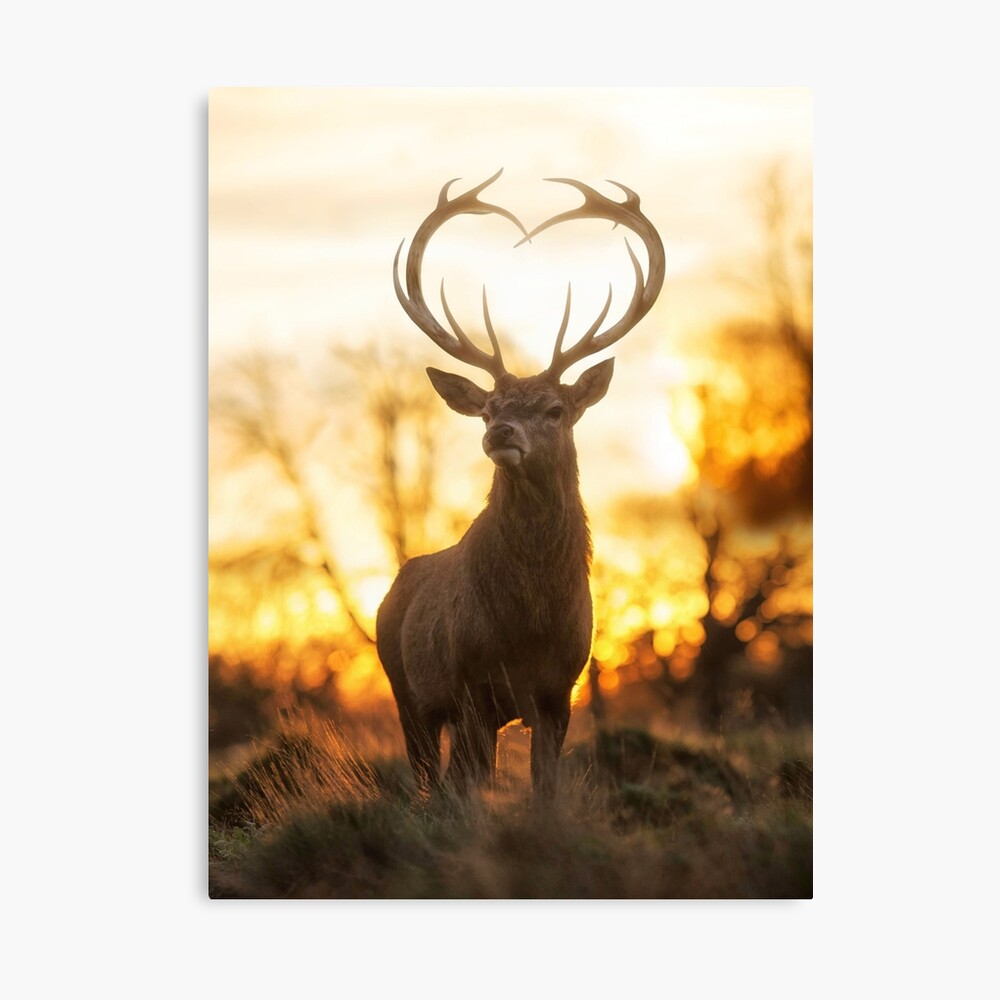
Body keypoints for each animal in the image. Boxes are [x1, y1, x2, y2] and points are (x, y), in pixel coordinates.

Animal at [375, 170, 664, 801]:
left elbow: (545, 792)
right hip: (405, 690)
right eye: (487, 409)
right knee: (430, 780)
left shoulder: (560, 692)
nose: (500, 432)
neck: (528, 624)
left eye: (556, 409)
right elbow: (472, 788)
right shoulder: (470, 686)